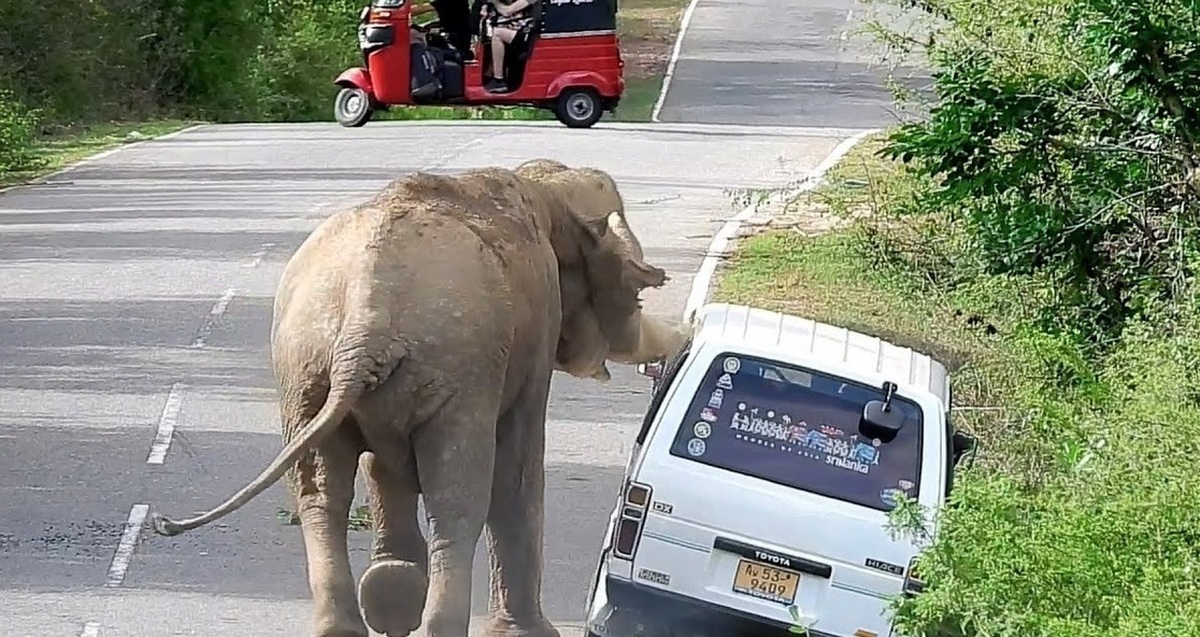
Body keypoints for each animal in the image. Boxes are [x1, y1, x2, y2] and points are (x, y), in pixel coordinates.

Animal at [148, 160, 691, 637]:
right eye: (634, 290)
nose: (681, 345)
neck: (543, 186)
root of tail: (366, 318)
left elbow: (385, 465)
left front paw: (394, 594)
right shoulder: (537, 327)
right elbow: (517, 463)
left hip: (306, 371)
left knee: (320, 492)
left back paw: (352, 620)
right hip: (450, 369)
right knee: (458, 496)